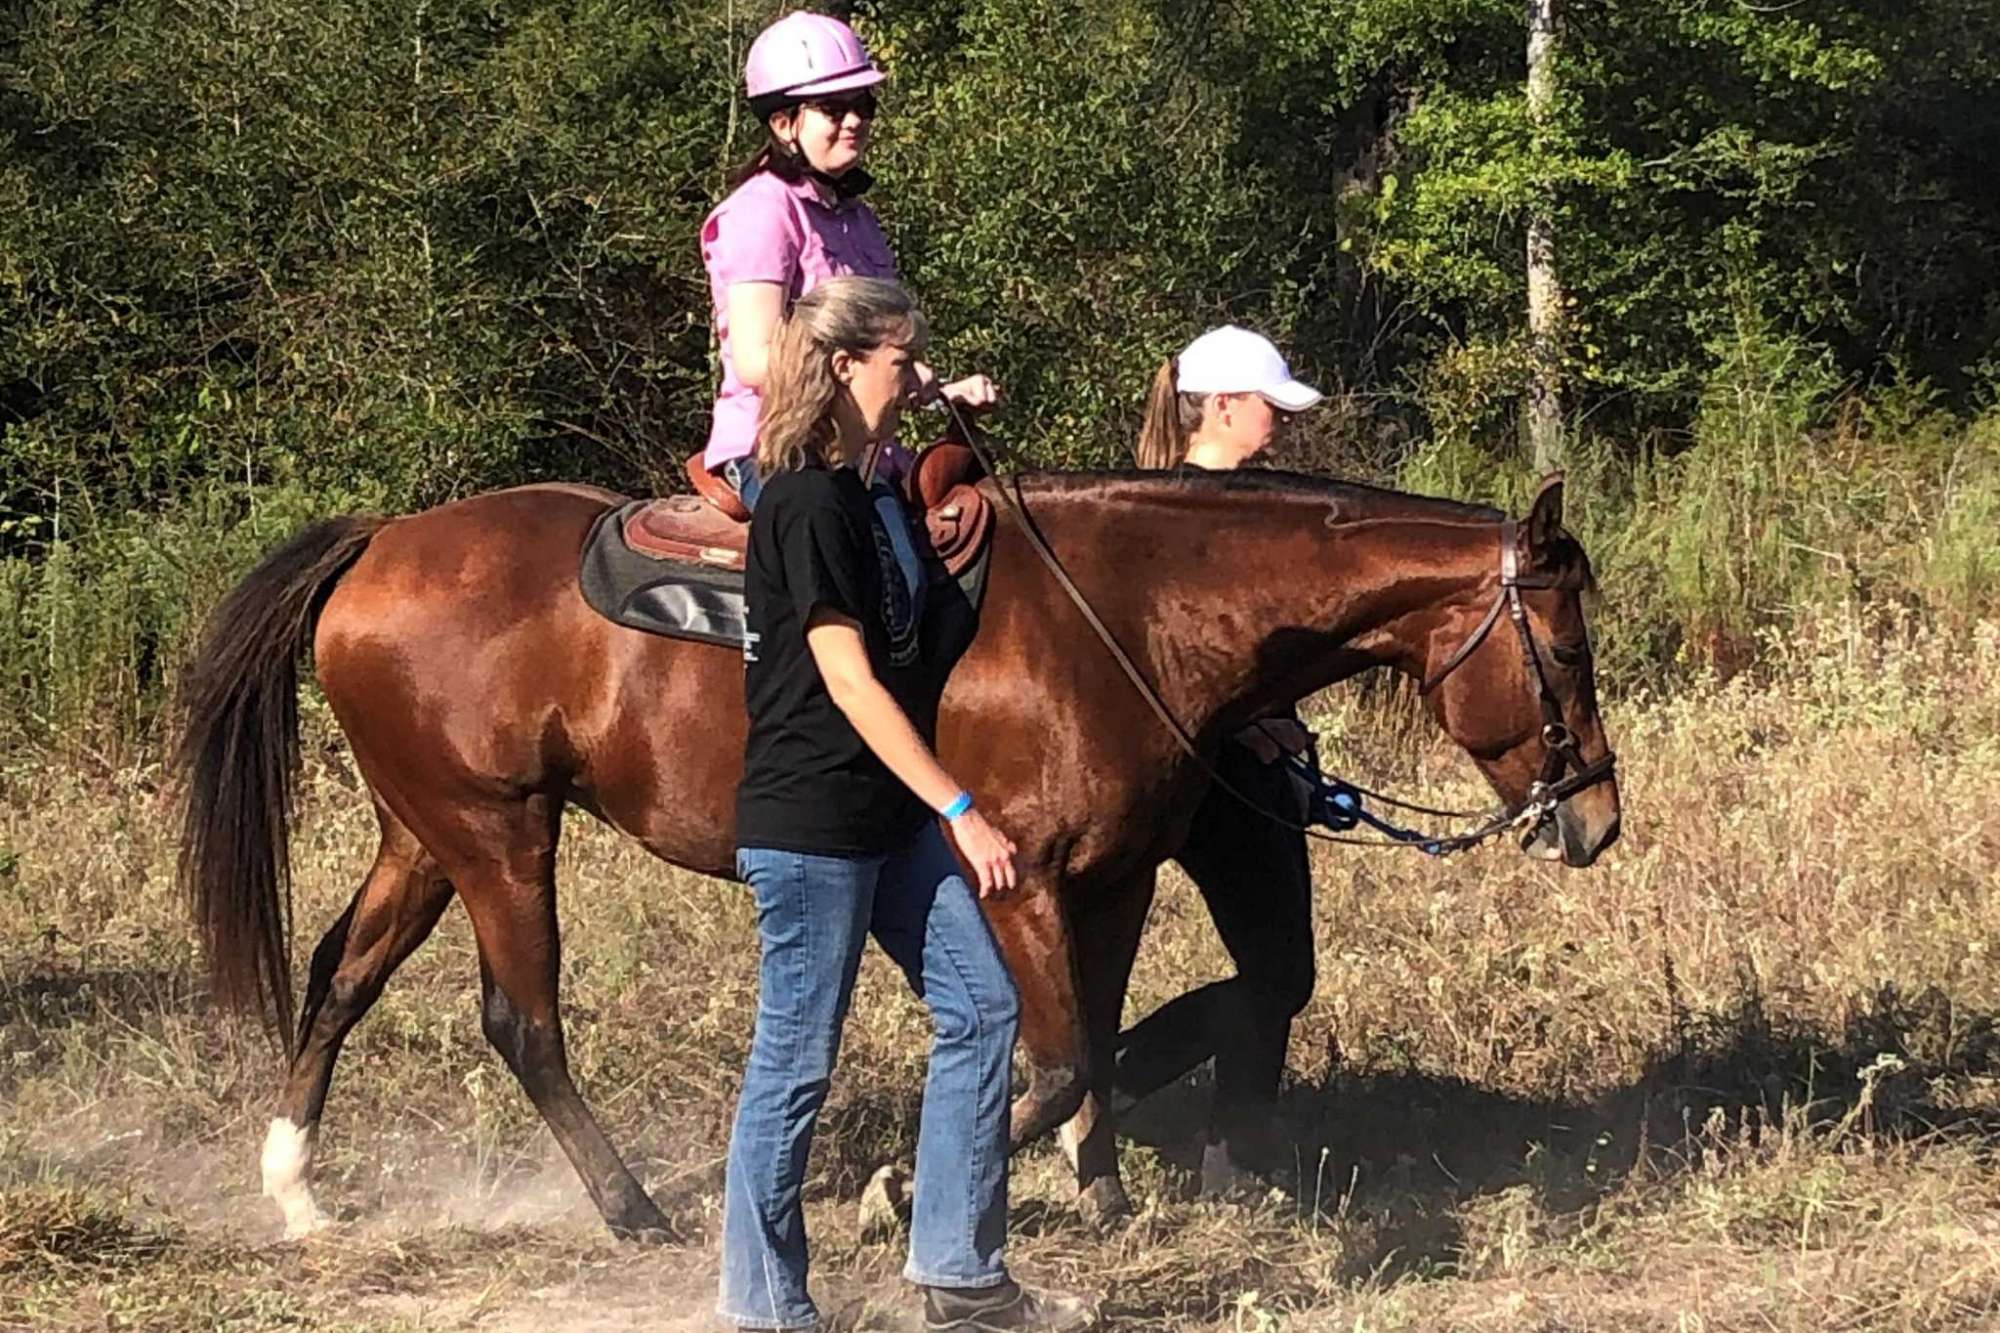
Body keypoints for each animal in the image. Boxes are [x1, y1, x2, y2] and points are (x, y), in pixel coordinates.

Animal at [176, 464, 1624, 1232]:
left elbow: (1100, 1040)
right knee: (520, 1023)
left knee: (341, 977)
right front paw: (898, 1186)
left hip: (424, 835)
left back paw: (295, 1188)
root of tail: (382, 542)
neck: (1126, 613)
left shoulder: (1113, 881)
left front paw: (1096, 1188)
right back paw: (631, 1205)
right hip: (497, 835)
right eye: (1565, 650)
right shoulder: (1021, 877)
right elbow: (1054, 1055)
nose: (1596, 815)